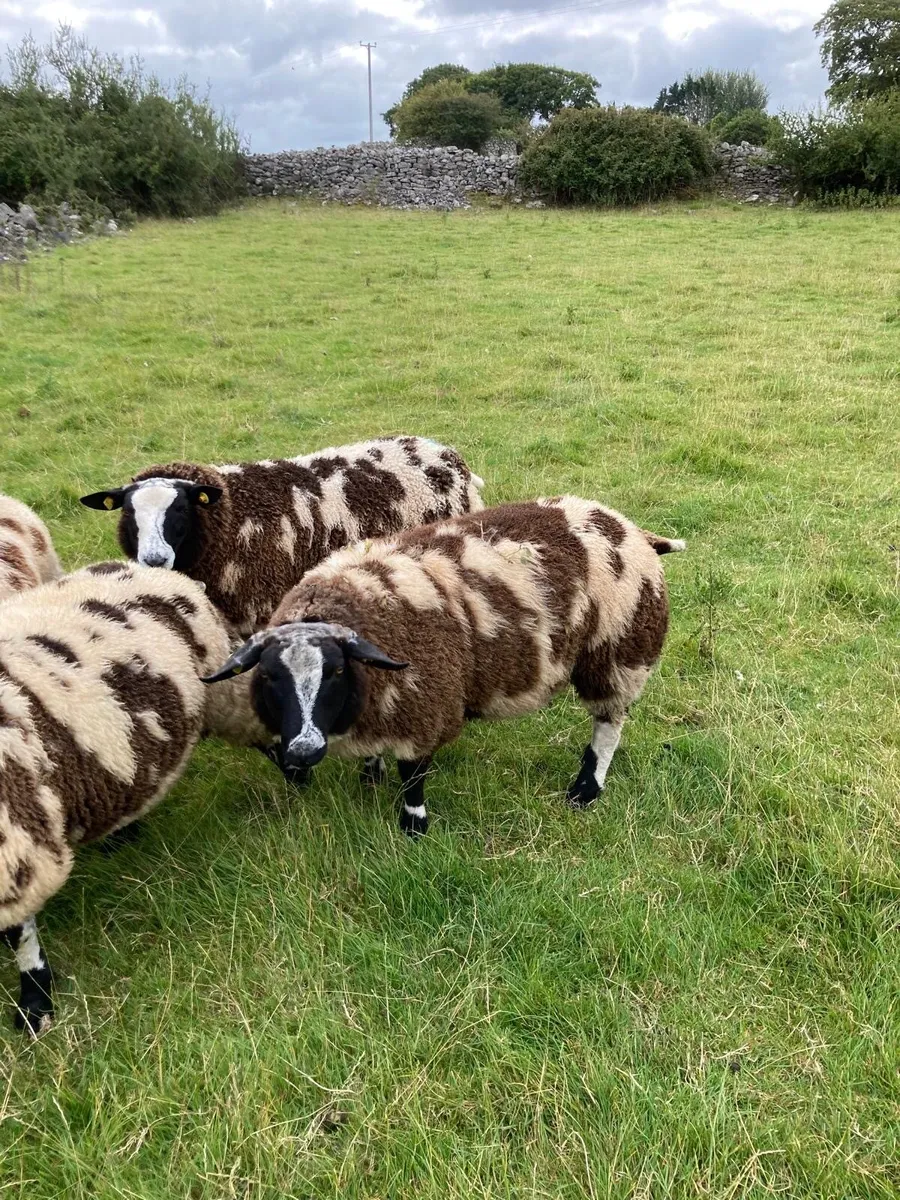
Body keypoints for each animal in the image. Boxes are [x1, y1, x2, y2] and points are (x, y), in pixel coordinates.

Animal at [202, 497, 685, 837]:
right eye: (268, 677)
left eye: (337, 672)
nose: (302, 752)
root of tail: (632, 529)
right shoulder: (389, 701)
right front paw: (369, 778)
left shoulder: (425, 706)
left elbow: (413, 776)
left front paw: (414, 827)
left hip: (620, 651)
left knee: (609, 726)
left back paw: (585, 791)